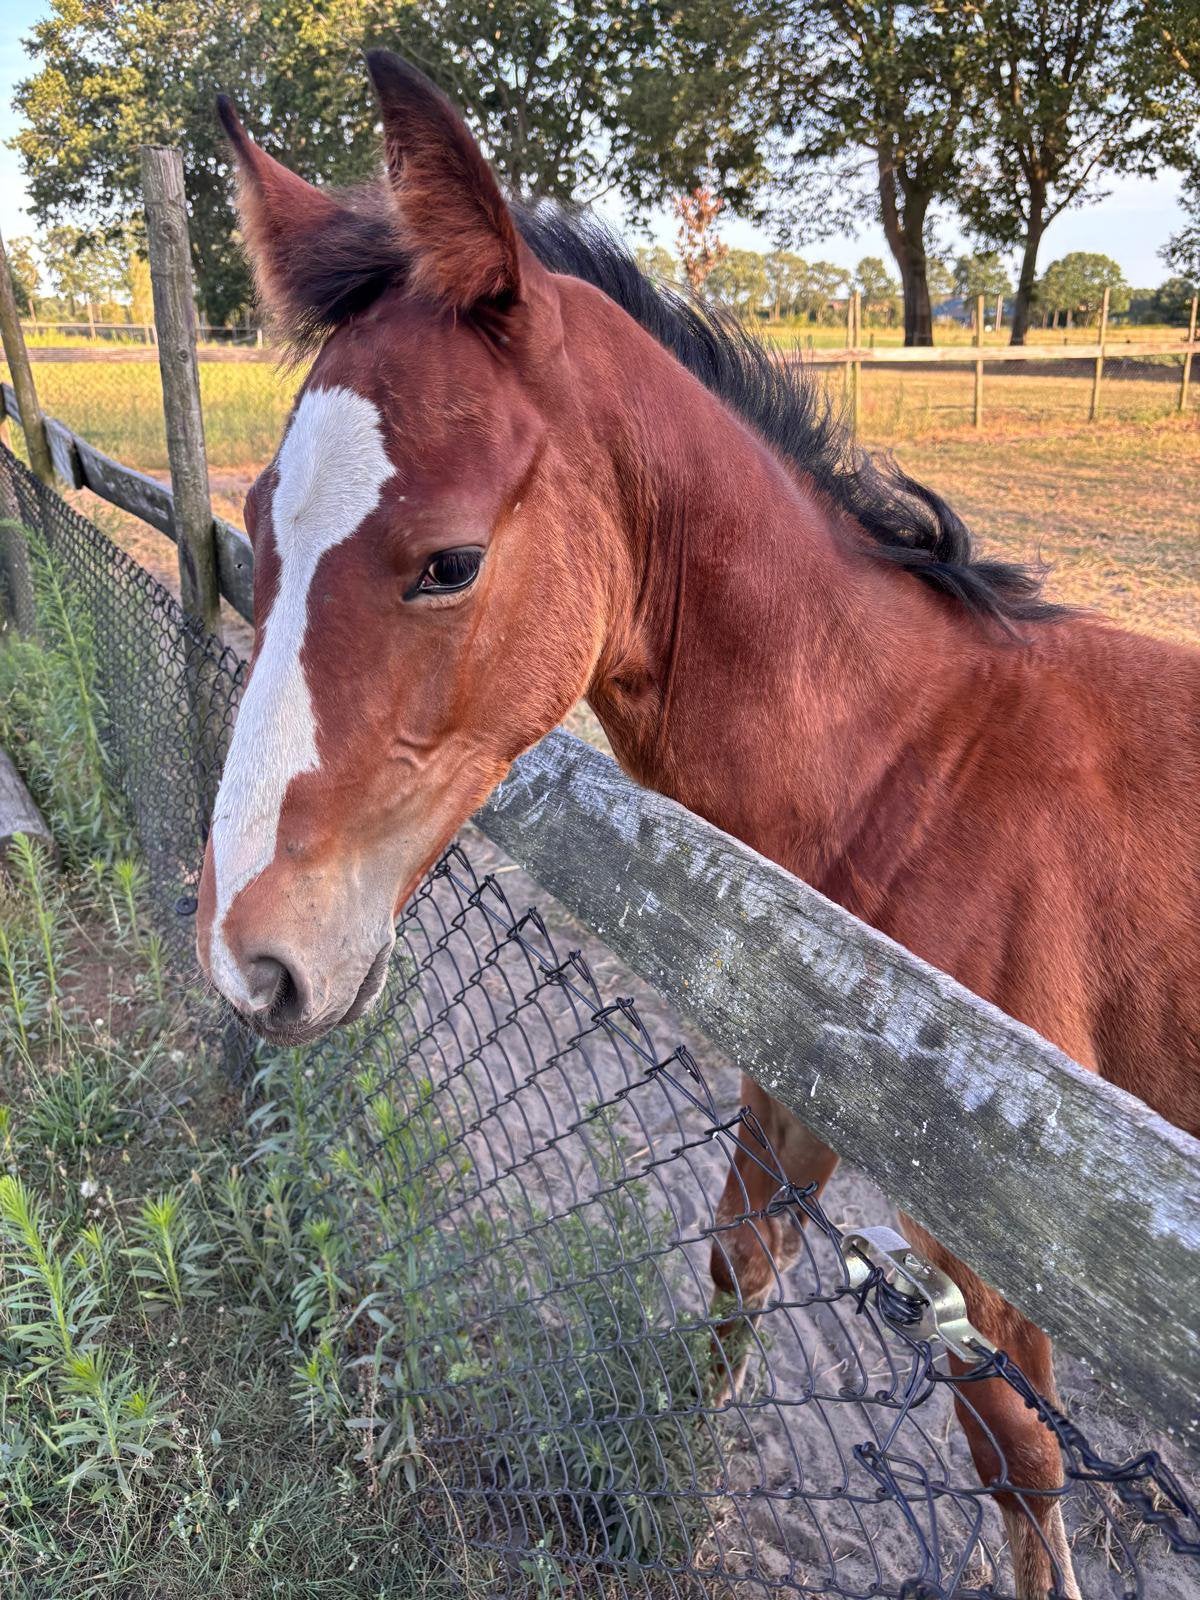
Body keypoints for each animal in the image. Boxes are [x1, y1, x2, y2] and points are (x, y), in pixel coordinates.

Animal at [196, 53, 1200, 1599]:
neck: (918, 766)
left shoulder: (1000, 1232)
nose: (250, 955)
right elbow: (734, 1278)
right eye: (257, 515)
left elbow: (1026, 1466)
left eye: (450, 563)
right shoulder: (796, 1097)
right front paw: (662, 1488)